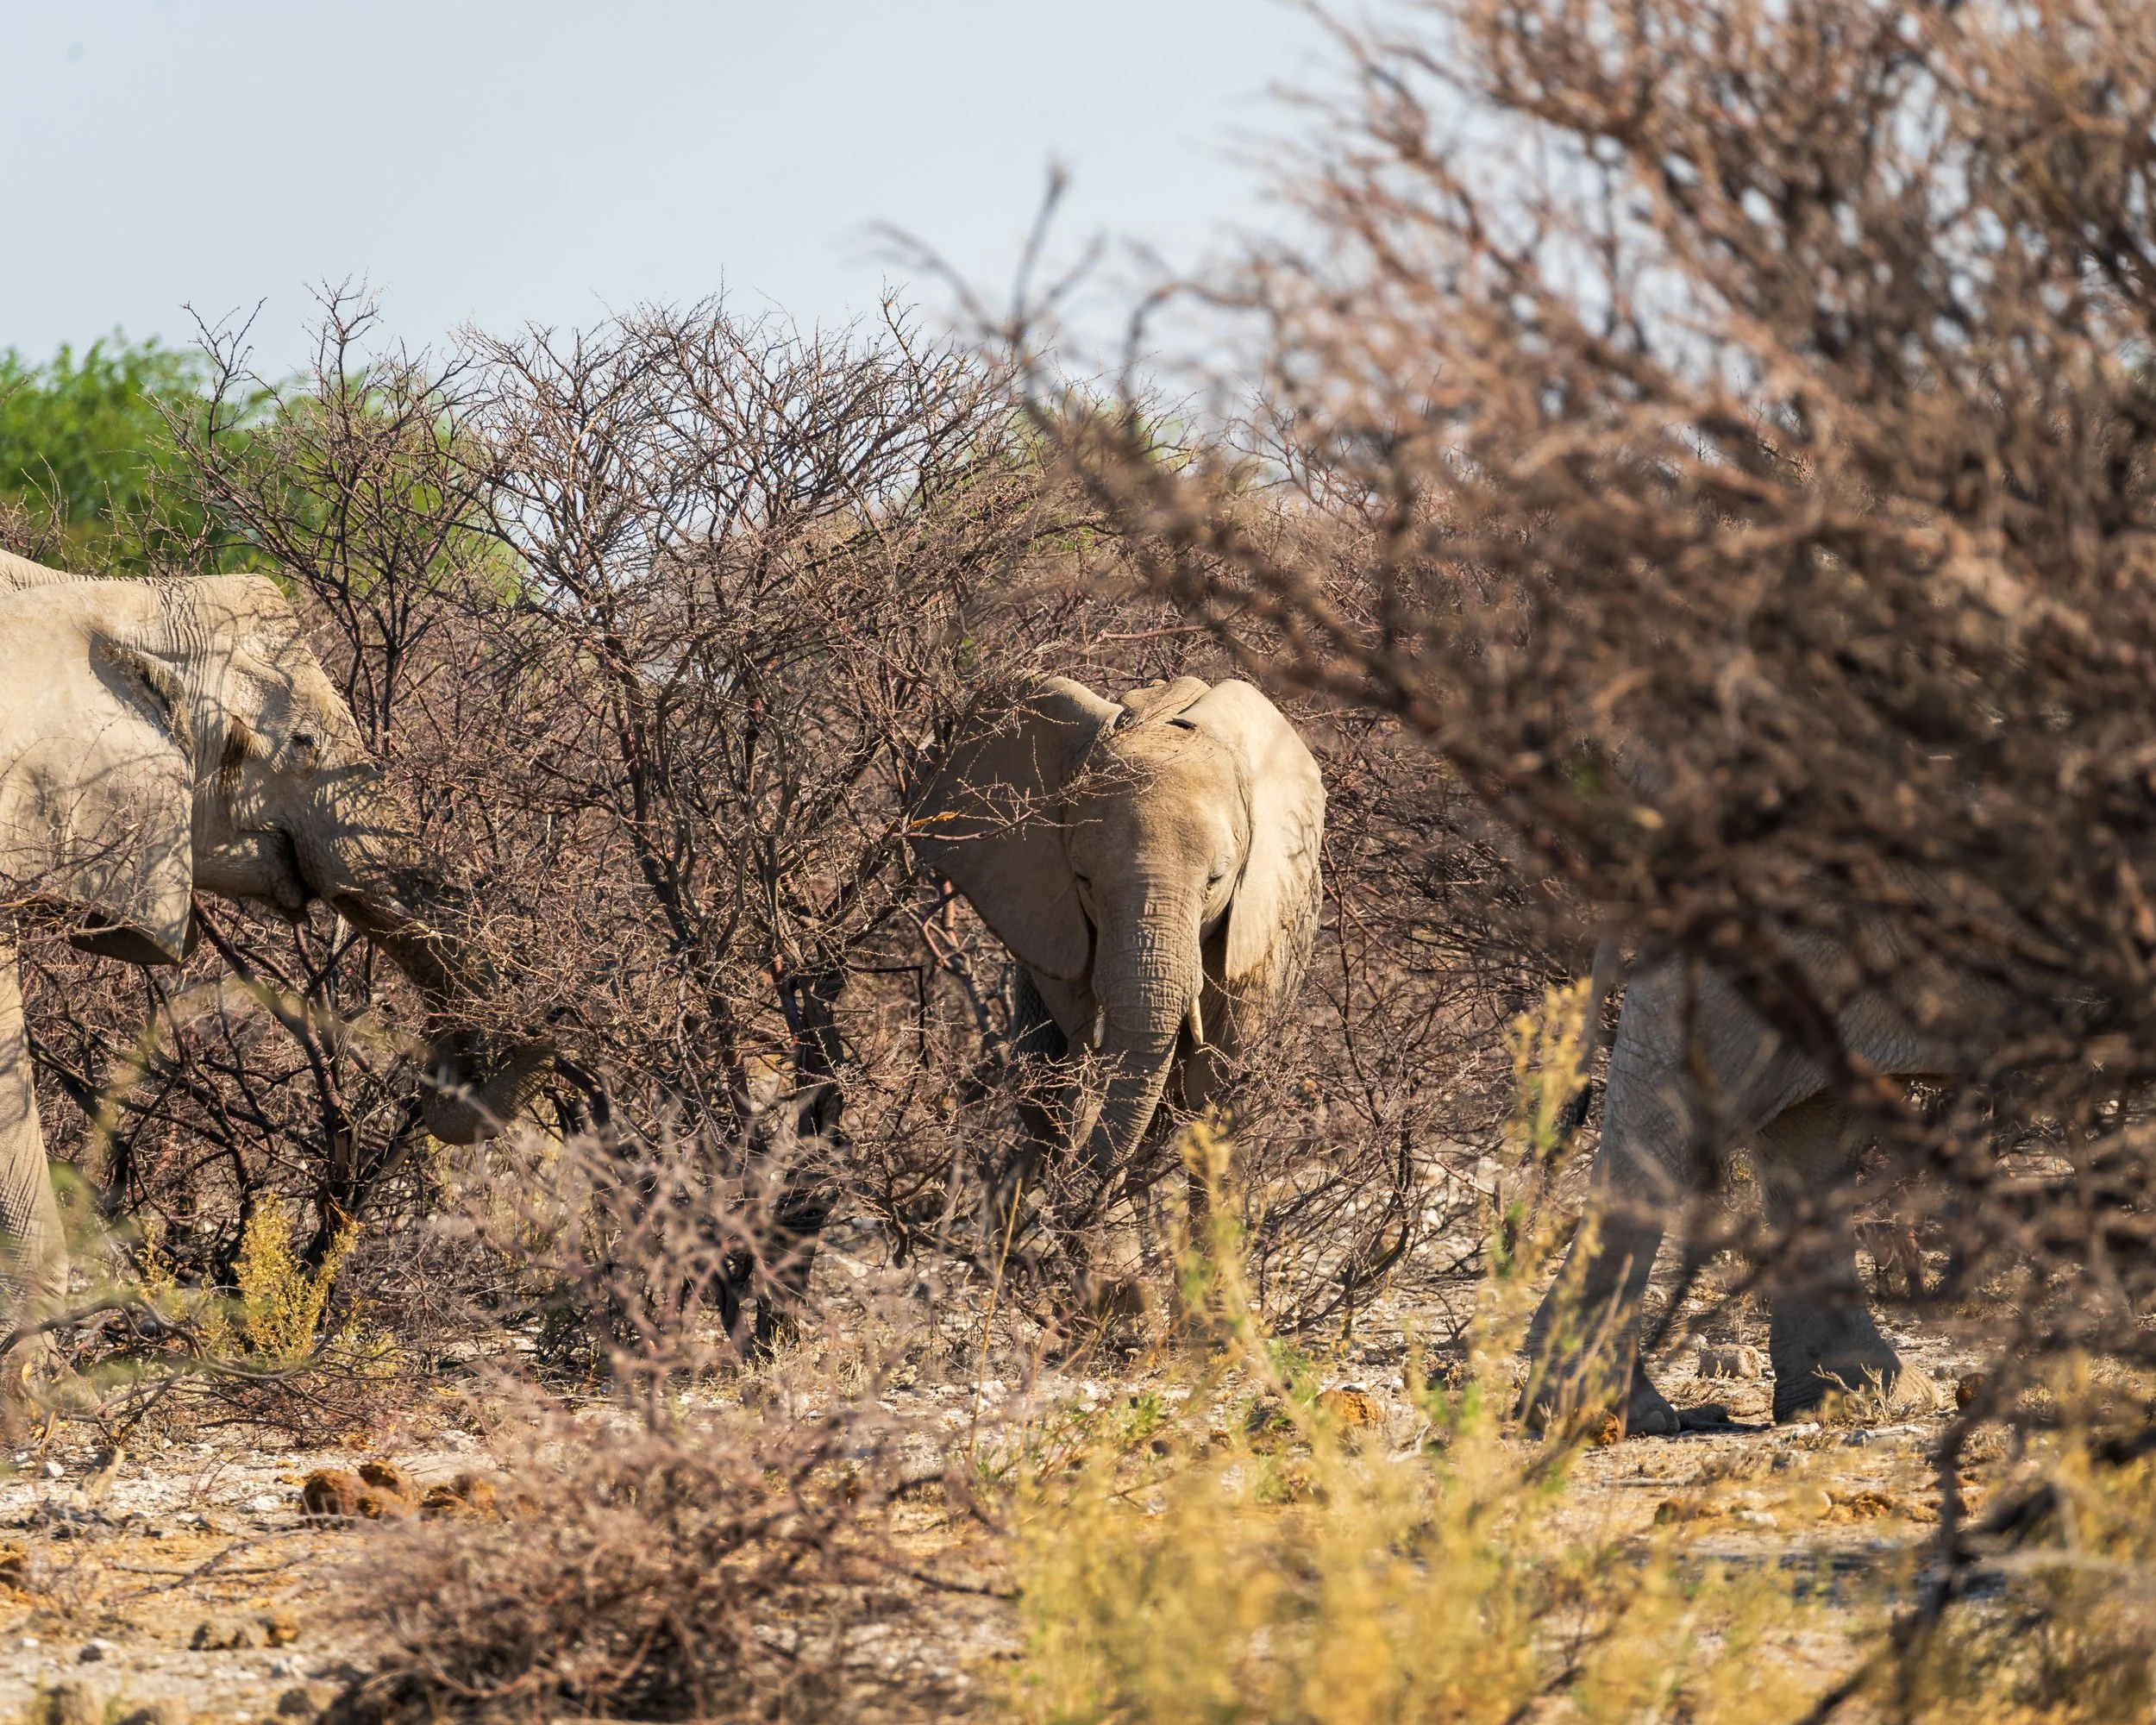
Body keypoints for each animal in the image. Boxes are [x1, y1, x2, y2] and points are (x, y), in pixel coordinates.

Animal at [916, 674, 1325, 1294]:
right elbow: (1089, 1066)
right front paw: (1117, 1279)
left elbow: (1217, 1096)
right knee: (1044, 1087)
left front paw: (1208, 1295)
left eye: (1216, 880)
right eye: (1084, 879)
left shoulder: (1260, 936)